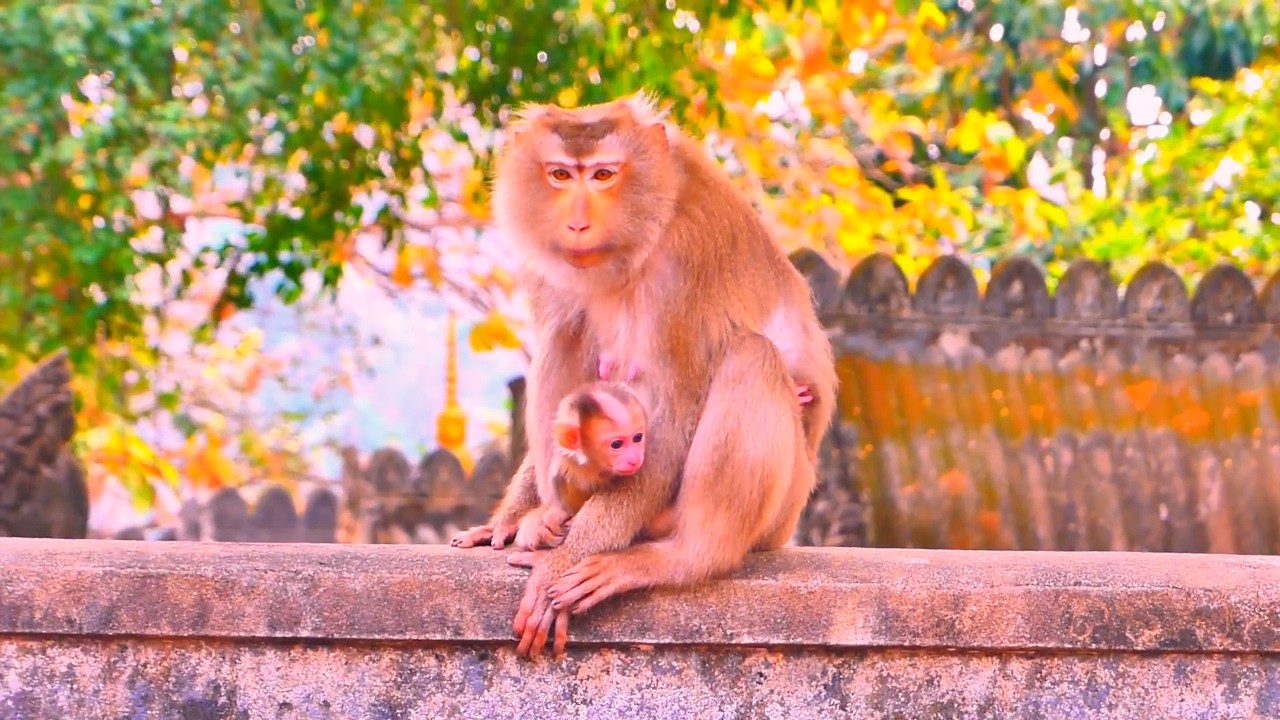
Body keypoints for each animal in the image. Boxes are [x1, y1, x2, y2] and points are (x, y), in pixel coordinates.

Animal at [450, 90, 838, 660]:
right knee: (568, 333)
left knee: (751, 357)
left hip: (781, 510)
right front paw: (509, 520)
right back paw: (546, 520)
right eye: (561, 175)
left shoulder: (689, 261)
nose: (578, 224)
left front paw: (560, 567)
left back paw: (681, 555)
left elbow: (674, 415)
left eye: (604, 175)